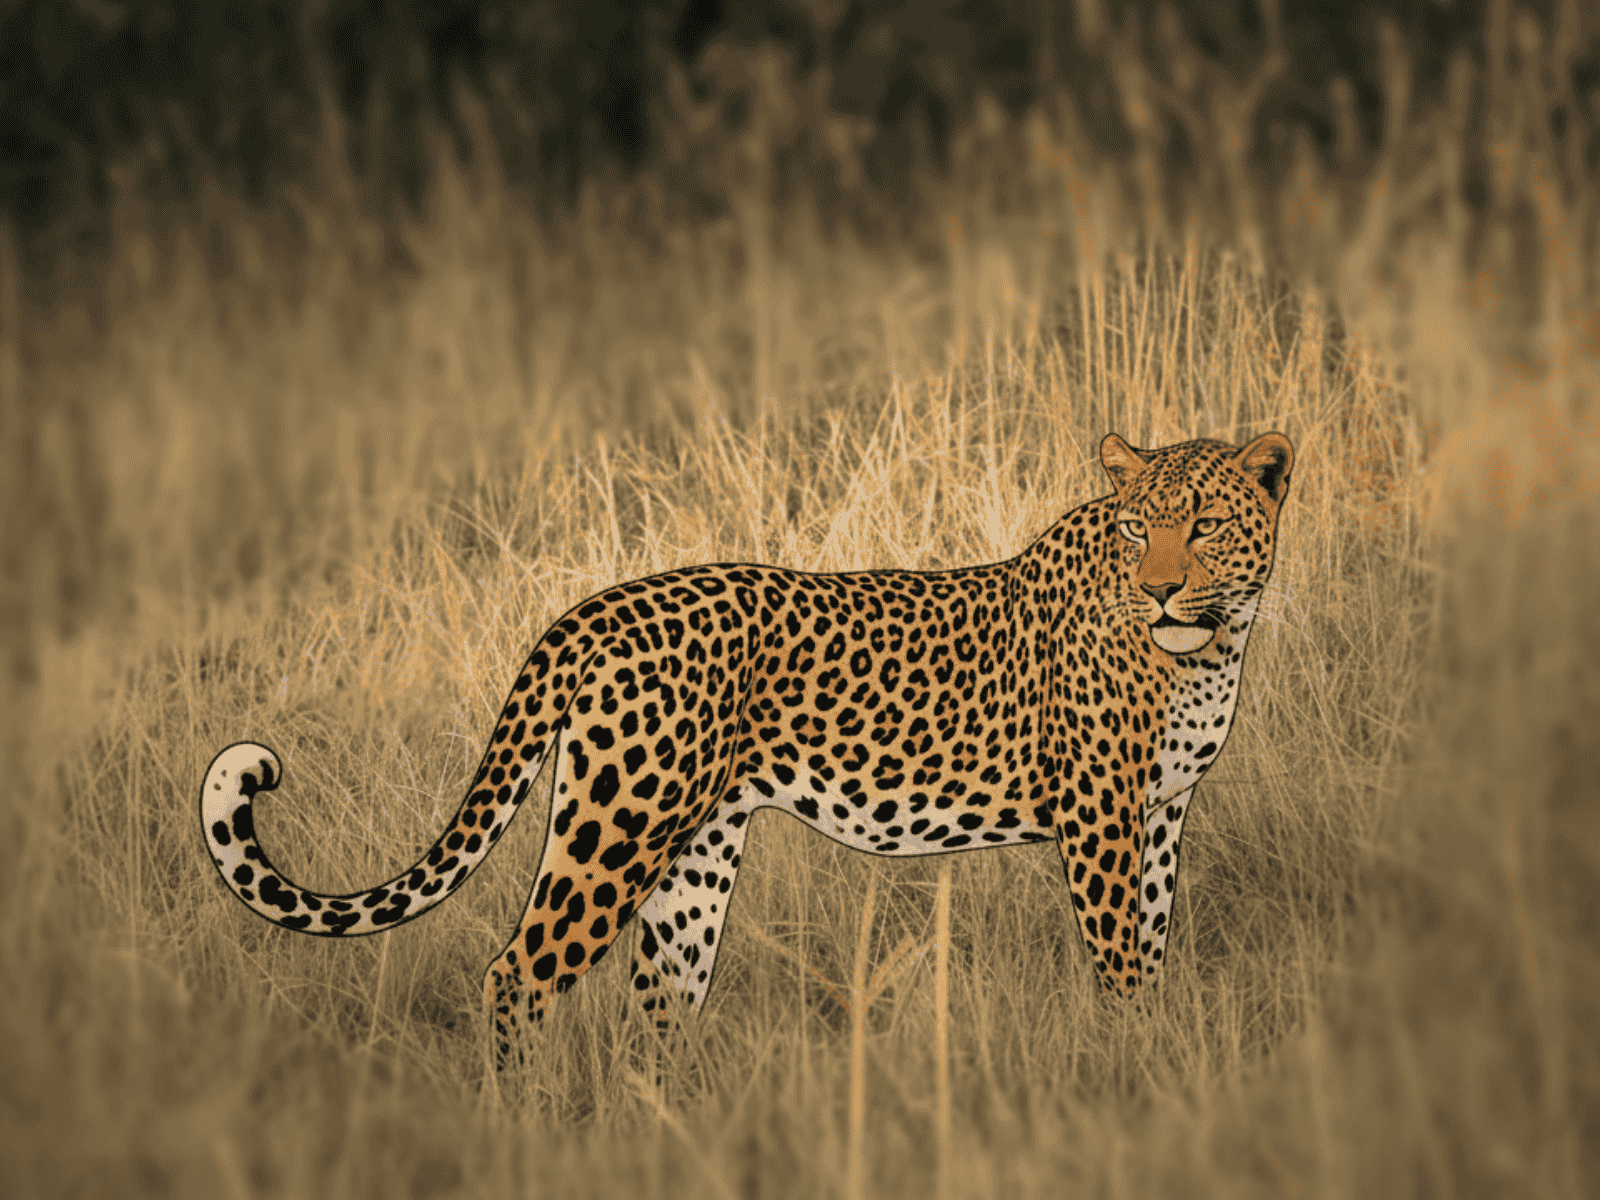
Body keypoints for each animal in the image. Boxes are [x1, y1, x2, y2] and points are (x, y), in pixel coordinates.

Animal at [200, 430, 1294, 1065]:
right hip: (617, 827)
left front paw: (1158, 1047)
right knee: (520, 973)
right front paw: (1134, 1062)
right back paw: (523, 1128)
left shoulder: (1162, 813)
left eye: (1204, 525)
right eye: (1136, 531)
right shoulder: (1102, 815)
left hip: (691, 854)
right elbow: (1119, 957)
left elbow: (1152, 941)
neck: (1215, 645)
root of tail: (593, 607)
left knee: (662, 1002)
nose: (1160, 590)